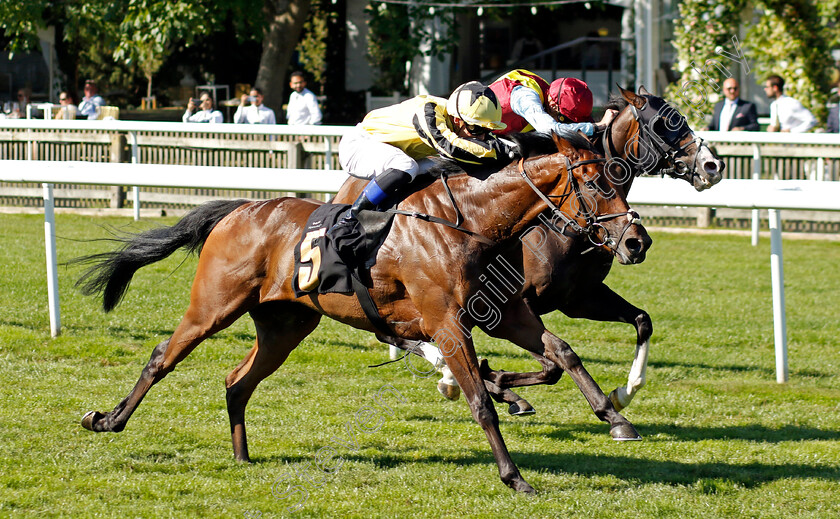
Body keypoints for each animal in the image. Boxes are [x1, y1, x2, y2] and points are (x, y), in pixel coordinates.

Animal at [77, 132, 648, 494]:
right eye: (596, 184)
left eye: (620, 181)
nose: (637, 241)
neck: (469, 221)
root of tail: (239, 208)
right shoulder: (447, 325)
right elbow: (480, 403)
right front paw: (516, 477)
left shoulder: (508, 314)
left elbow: (560, 353)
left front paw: (611, 414)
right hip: (212, 307)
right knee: (161, 357)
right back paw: (106, 420)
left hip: (285, 325)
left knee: (237, 382)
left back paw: (242, 456)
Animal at [332, 88, 724, 414]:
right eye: (666, 123)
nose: (713, 166)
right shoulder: (508, 303)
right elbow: (553, 361)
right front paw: (496, 382)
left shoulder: (578, 296)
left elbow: (640, 321)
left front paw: (623, 393)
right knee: (391, 331)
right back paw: (448, 377)